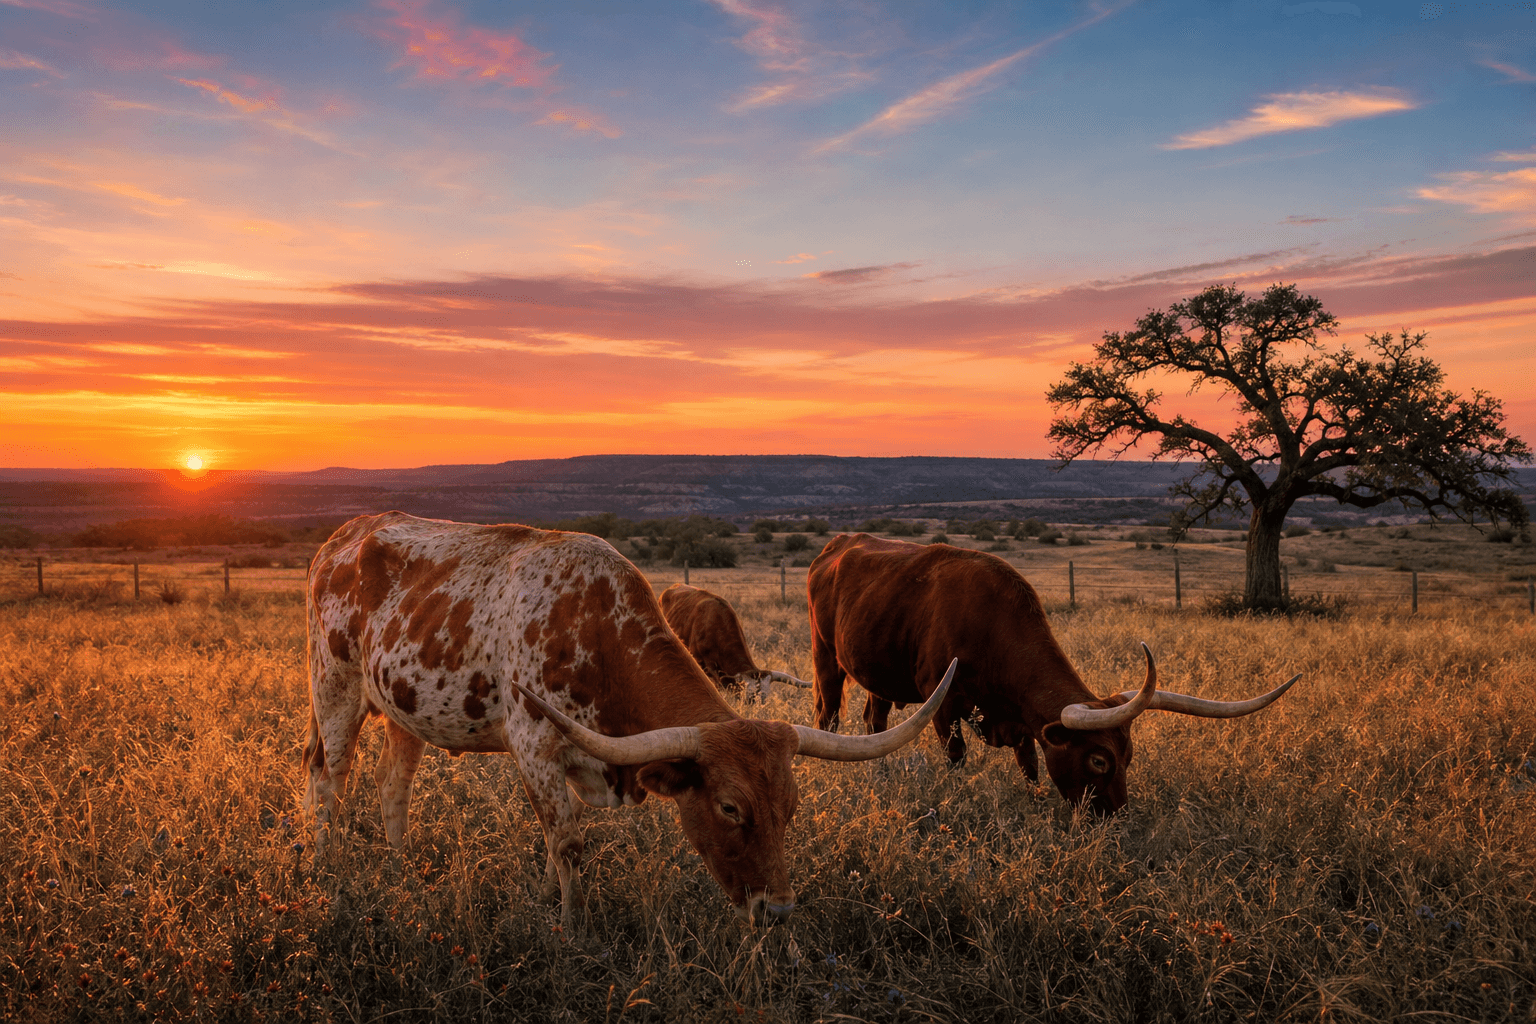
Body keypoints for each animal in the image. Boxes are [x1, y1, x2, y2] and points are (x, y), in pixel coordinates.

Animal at [806, 534, 1299, 814]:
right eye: (1099, 760)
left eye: (1129, 757)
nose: (1116, 816)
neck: (990, 625)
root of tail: (837, 544)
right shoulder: (942, 706)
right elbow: (957, 759)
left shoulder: (1023, 722)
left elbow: (1030, 768)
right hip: (825, 656)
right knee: (828, 714)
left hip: (877, 673)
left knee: (874, 719)